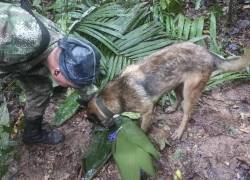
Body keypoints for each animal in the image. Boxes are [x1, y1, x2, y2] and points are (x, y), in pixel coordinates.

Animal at [86, 41, 250, 139]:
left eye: (96, 123)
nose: (96, 132)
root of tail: (209, 54)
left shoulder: (147, 110)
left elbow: (143, 128)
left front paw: (141, 136)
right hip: (176, 84)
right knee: (178, 98)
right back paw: (172, 108)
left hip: (189, 92)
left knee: (187, 113)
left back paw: (179, 131)